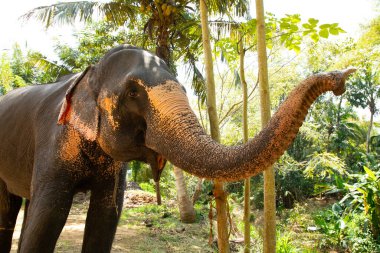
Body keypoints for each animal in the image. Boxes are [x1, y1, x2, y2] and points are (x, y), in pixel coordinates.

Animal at [0, 44, 354, 252]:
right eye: (133, 92)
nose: (342, 76)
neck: (88, 73)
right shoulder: (54, 142)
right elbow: (48, 216)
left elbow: (105, 216)